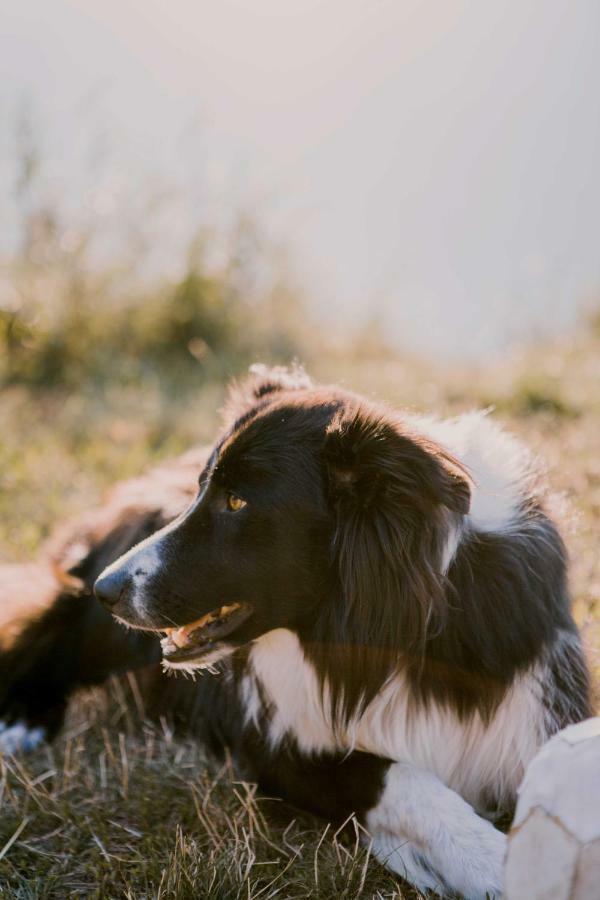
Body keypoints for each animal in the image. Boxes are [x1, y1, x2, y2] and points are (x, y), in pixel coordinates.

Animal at [0, 368, 592, 900]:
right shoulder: (278, 745)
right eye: (200, 490)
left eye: (237, 501)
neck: (396, 633)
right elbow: (400, 777)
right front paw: (491, 860)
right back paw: (20, 720)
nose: (107, 588)